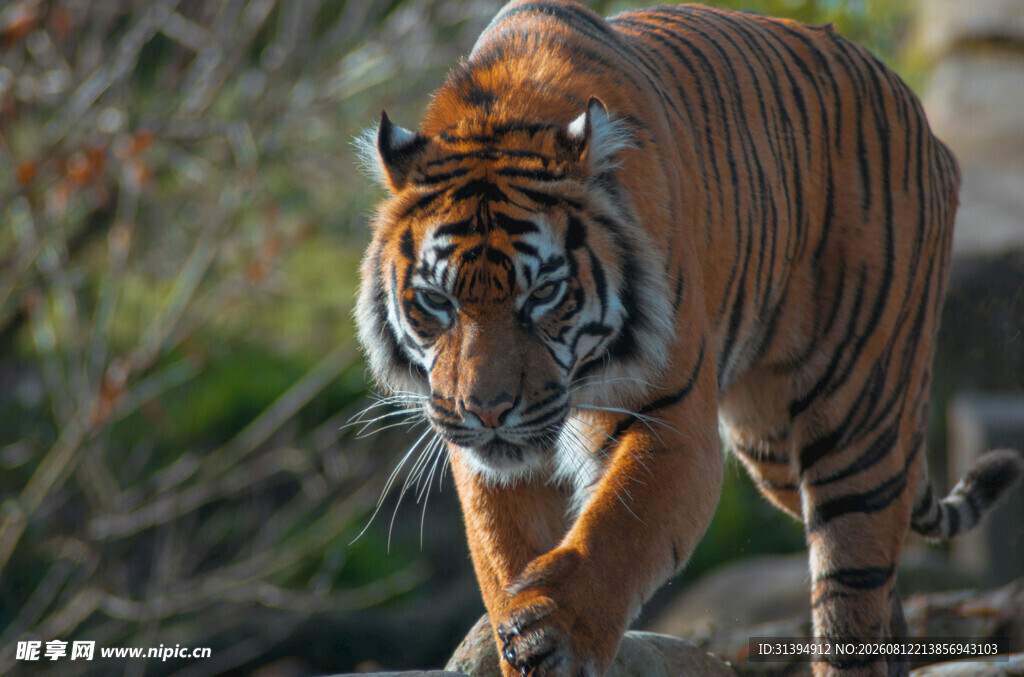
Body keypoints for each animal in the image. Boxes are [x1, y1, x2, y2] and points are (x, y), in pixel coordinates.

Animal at [354, 1, 1024, 676]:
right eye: (437, 302)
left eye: (542, 293)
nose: (487, 412)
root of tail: (917, 112)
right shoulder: (487, 455)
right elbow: (501, 552)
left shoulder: (672, 418)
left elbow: (617, 531)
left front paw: (553, 630)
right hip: (773, 448)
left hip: (857, 419)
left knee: (852, 588)